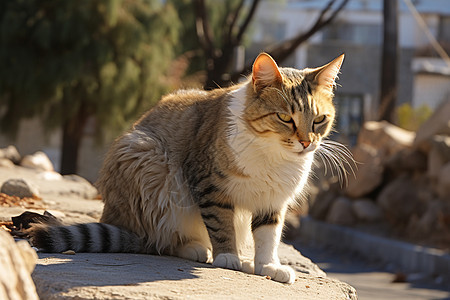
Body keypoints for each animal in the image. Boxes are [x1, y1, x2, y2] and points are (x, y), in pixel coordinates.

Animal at [29, 52, 346, 284]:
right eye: (285, 118)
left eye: (319, 120)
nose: (306, 143)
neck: (273, 154)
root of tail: (118, 219)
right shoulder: (208, 185)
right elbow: (221, 224)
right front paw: (228, 257)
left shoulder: (272, 200)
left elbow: (269, 236)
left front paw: (268, 266)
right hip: (153, 167)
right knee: (156, 239)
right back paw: (196, 249)